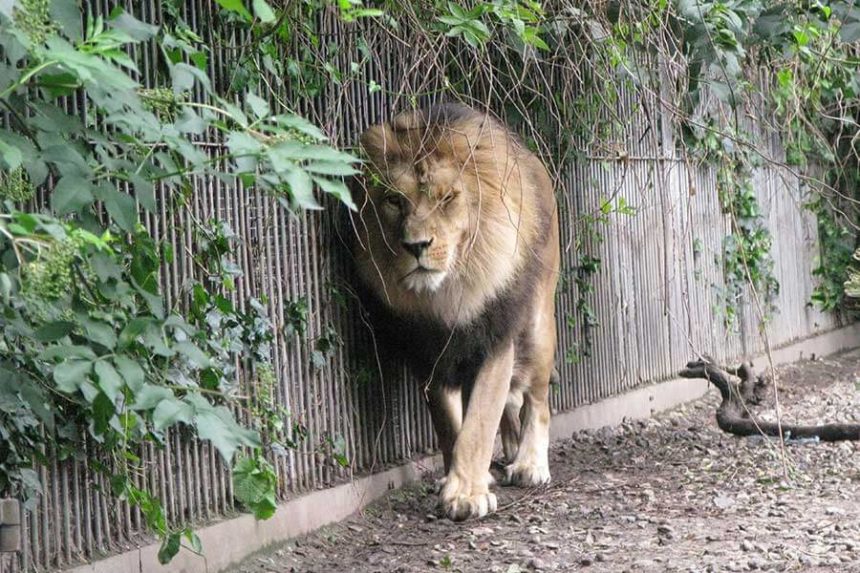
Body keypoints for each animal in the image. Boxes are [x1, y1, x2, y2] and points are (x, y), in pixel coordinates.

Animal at [349, 103, 560, 521]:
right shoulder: (429, 350)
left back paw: (529, 464)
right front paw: (459, 480)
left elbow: (479, 420)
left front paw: (466, 495)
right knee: (512, 403)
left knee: (536, 399)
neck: (449, 292)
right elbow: (450, 423)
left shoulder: (495, 337)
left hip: (537, 324)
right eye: (394, 200)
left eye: (447, 197)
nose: (416, 246)